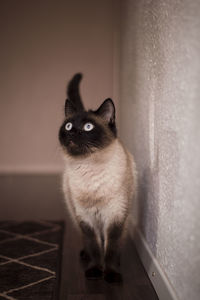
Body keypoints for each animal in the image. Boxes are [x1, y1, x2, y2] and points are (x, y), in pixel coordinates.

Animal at [58, 73, 137, 284]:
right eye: (68, 126)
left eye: (88, 127)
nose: (73, 132)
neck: (89, 166)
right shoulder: (85, 218)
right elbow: (94, 246)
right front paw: (94, 270)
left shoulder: (115, 216)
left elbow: (110, 248)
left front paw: (110, 274)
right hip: (73, 211)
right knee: (91, 243)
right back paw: (85, 255)